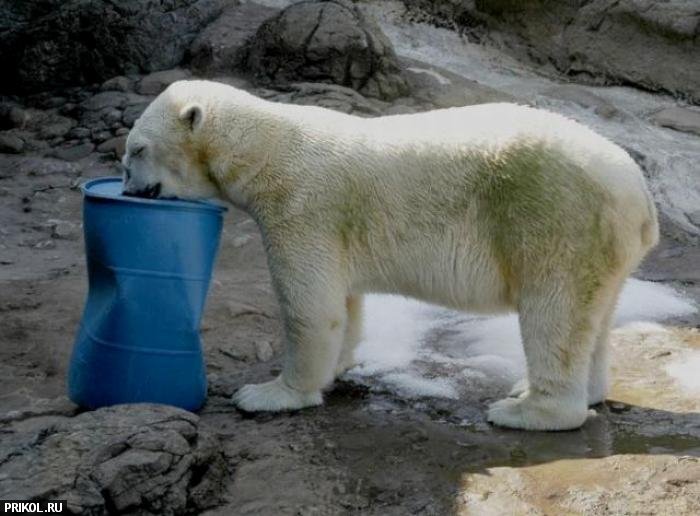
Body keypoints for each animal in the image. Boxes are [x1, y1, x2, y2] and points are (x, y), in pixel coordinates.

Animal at [122, 80, 658, 431]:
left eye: (137, 151)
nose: (128, 190)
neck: (267, 147)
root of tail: (638, 194)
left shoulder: (304, 208)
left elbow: (309, 306)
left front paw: (268, 394)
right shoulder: (335, 230)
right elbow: (344, 303)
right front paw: (336, 368)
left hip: (556, 219)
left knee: (554, 313)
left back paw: (526, 410)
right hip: (600, 246)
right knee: (593, 318)